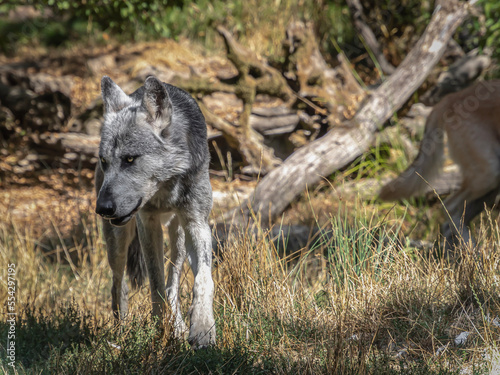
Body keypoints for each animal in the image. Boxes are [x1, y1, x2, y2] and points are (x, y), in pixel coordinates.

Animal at [94, 75, 216, 348]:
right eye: (104, 162)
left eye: (130, 159)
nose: (102, 208)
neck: (164, 188)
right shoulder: (146, 223)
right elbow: (155, 283)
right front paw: (160, 331)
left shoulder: (197, 222)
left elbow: (203, 279)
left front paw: (202, 329)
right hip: (117, 241)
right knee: (118, 285)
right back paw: (121, 332)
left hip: (178, 235)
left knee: (173, 283)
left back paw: (179, 326)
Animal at [378, 81, 500, 248]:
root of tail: (450, 98)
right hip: (488, 175)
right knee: (450, 208)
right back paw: (473, 252)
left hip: (489, 187)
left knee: (451, 225)